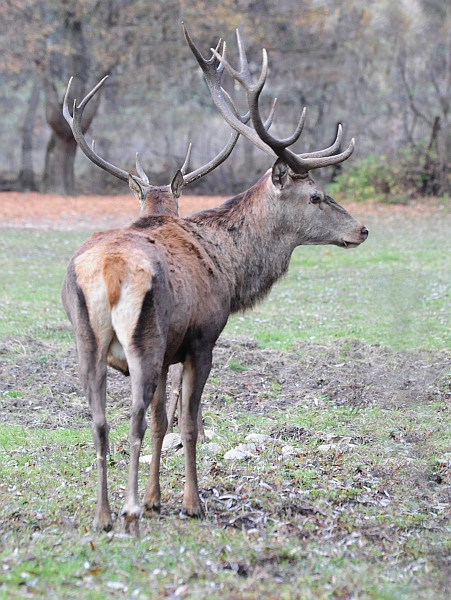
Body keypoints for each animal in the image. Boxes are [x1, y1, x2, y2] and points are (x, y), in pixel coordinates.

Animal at [61, 29, 370, 536]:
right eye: (315, 196)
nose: (362, 230)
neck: (230, 265)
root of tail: (106, 269)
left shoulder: (172, 348)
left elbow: (164, 421)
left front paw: (156, 498)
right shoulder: (201, 339)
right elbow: (188, 424)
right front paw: (190, 502)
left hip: (86, 339)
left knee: (100, 421)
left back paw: (104, 514)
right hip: (143, 338)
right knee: (131, 420)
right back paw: (127, 511)